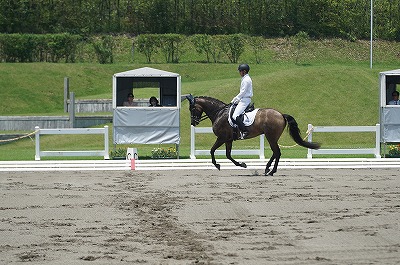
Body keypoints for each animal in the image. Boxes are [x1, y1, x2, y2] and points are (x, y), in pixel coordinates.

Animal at [186, 95, 320, 175]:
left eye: (192, 109)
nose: (193, 122)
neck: (219, 113)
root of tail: (281, 114)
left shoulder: (222, 138)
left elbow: (212, 150)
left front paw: (217, 165)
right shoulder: (228, 139)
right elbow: (228, 155)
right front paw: (242, 164)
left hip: (271, 137)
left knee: (277, 152)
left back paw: (271, 171)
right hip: (271, 137)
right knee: (275, 152)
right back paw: (267, 168)